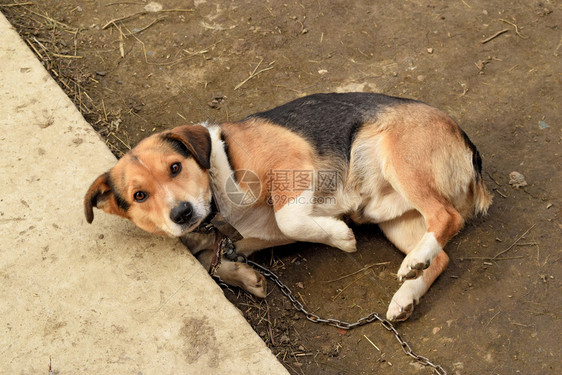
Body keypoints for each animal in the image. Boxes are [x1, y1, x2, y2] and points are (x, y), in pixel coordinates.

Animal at [84, 92, 490, 322]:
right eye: (139, 196)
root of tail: (466, 142)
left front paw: (340, 237)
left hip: (399, 162)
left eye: (174, 167)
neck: (218, 209)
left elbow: (288, 217)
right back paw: (406, 294)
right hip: (390, 218)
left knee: (447, 217)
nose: (181, 214)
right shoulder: (233, 242)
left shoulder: (291, 167)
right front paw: (246, 277)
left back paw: (412, 262)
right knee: (440, 256)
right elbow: (208, 262)